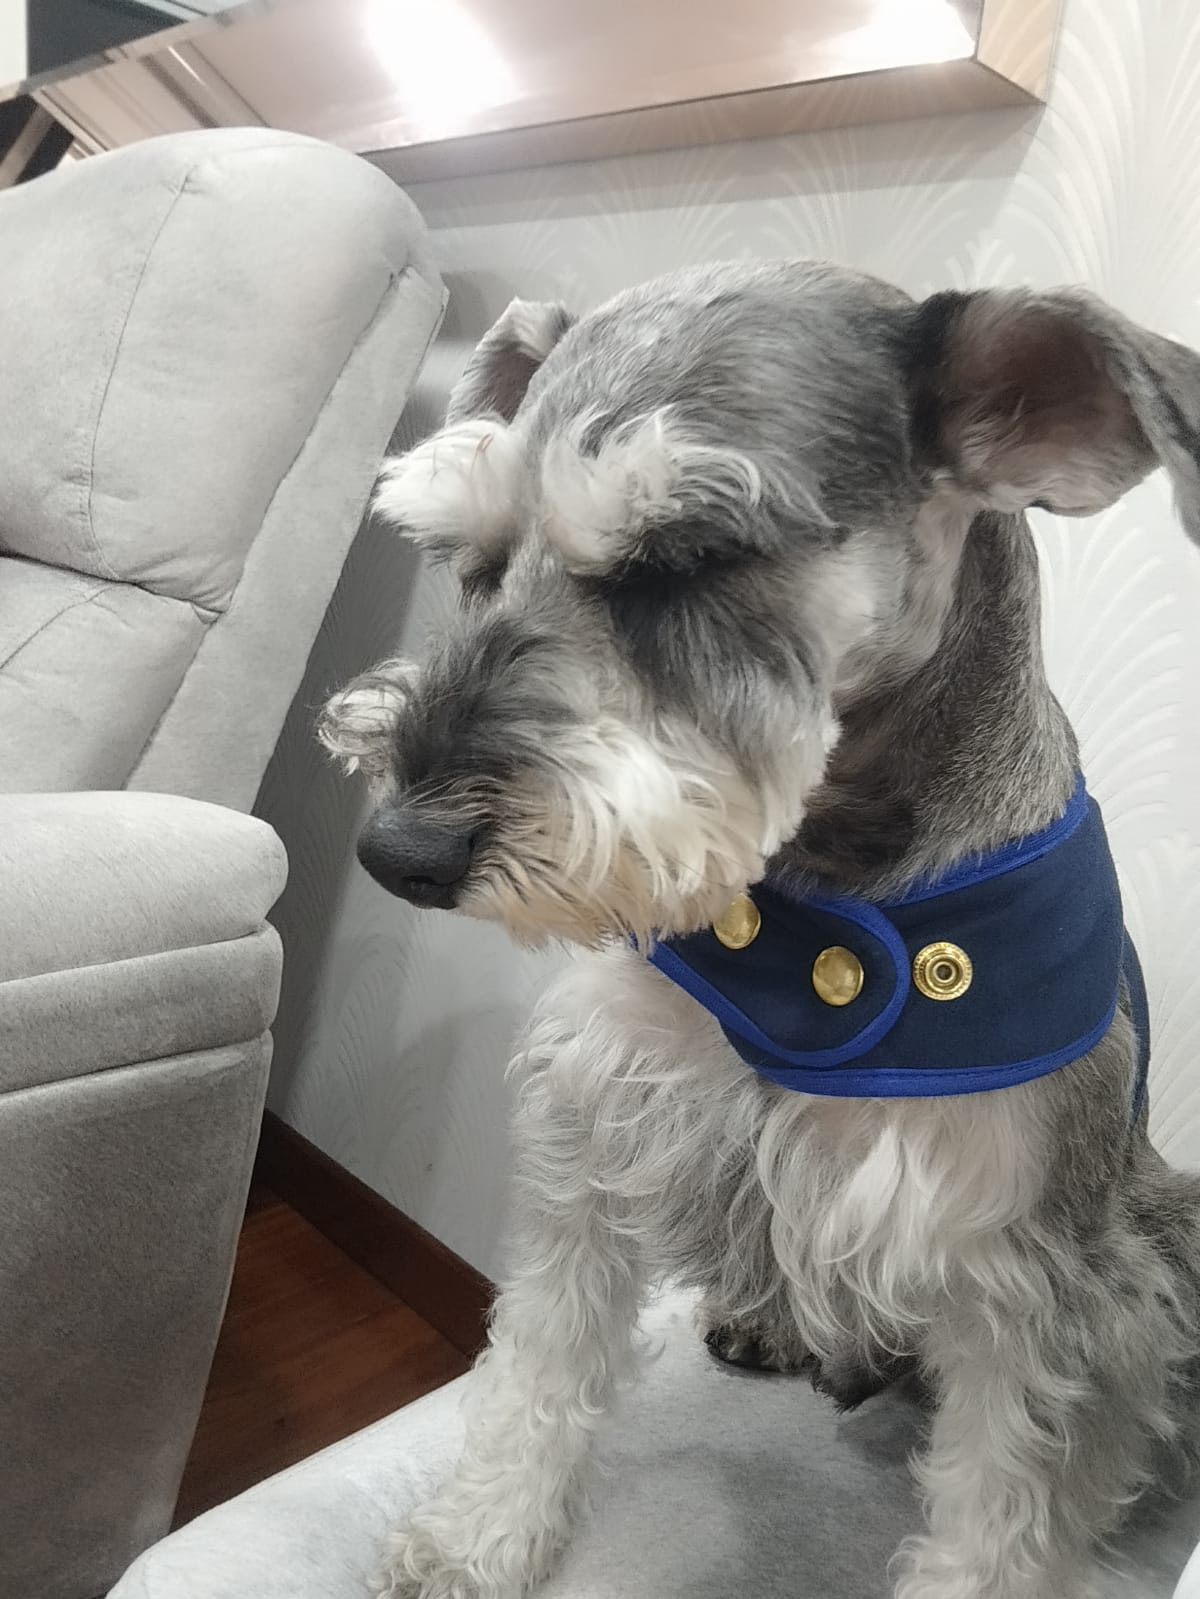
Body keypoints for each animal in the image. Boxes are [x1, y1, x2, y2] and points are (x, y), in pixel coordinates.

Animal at [320, 261, 1200, 1599]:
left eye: (689, 557)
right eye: (475, 563)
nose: (399, 854)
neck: (815, 893)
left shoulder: (1039, 1279)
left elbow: (1004, 1507)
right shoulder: (595, 1131)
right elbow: (539, 1360)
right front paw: (481, 1535)